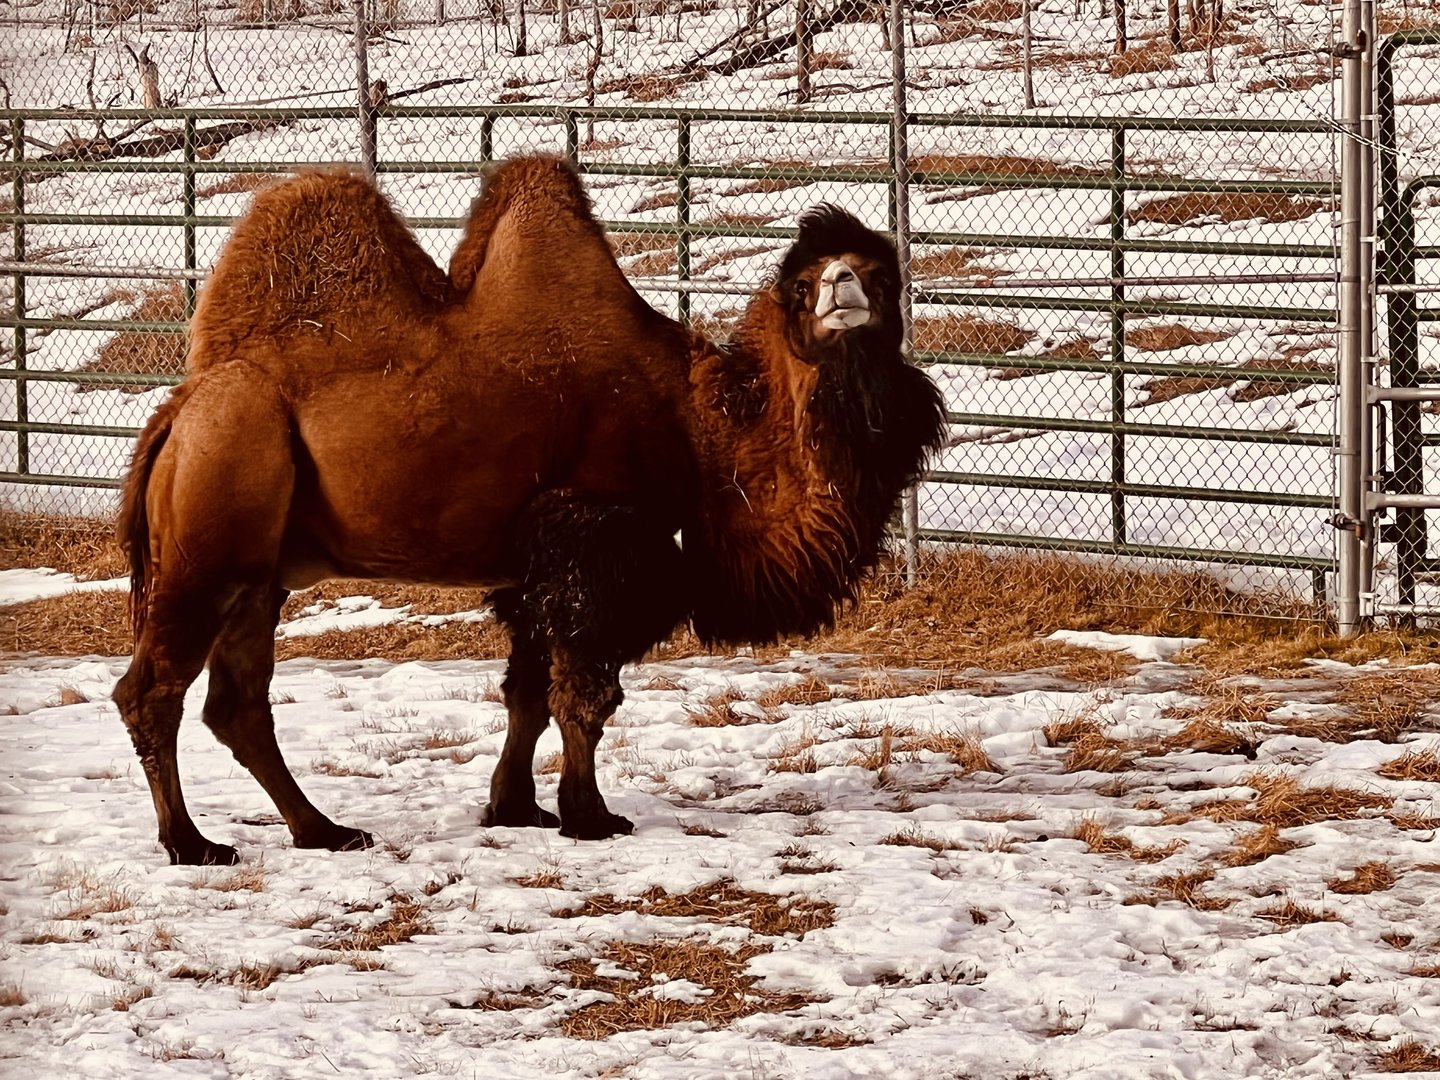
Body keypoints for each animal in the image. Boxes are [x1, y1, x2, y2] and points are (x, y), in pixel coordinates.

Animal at [113, 156, 948, 865]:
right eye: (803, 284)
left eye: (882, 275)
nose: (844, 286)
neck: (699, 423)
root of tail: (174, 416)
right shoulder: (599, 536)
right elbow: (584, 694)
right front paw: (591, 815)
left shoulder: (531, 565)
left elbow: (526, 693)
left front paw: (515, 809)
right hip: (210, 533)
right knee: (152, 692)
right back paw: (191, 843)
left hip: (260, 574)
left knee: (238, 704)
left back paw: (324, 831)